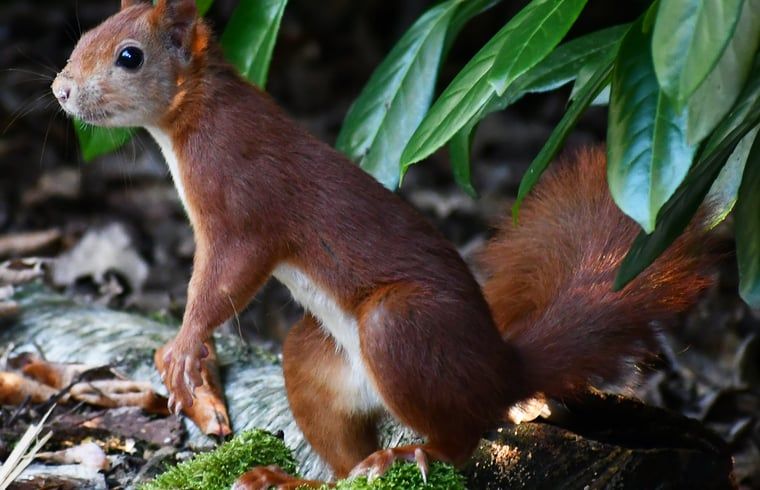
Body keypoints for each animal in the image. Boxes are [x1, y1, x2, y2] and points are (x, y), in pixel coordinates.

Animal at [52, 0, 712, 487]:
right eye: (86, 35)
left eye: (129, 56)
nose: (60, 89)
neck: (195, 117)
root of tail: (501, 370)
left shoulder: (245, 206)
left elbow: (226, 280)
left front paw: (185, 347)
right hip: (317, 362)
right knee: (345, 455)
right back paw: (295, 477)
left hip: (402, 327)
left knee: (465, 436)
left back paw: (413, 455)